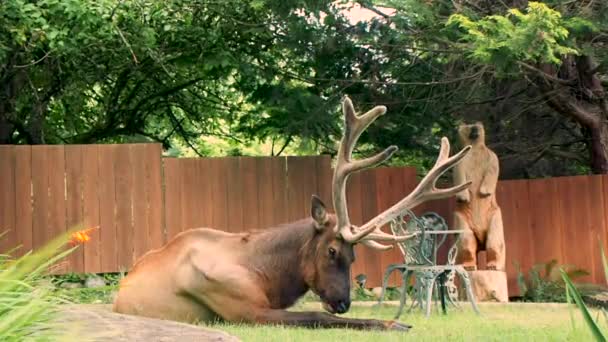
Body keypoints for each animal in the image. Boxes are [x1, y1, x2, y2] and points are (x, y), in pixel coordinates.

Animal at [115, 96, 476, 332]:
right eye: (332, 251)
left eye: (354, 256)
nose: (343, 302)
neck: (269, 274)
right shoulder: (246, 311)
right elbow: (319, 317)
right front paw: (392, 323)